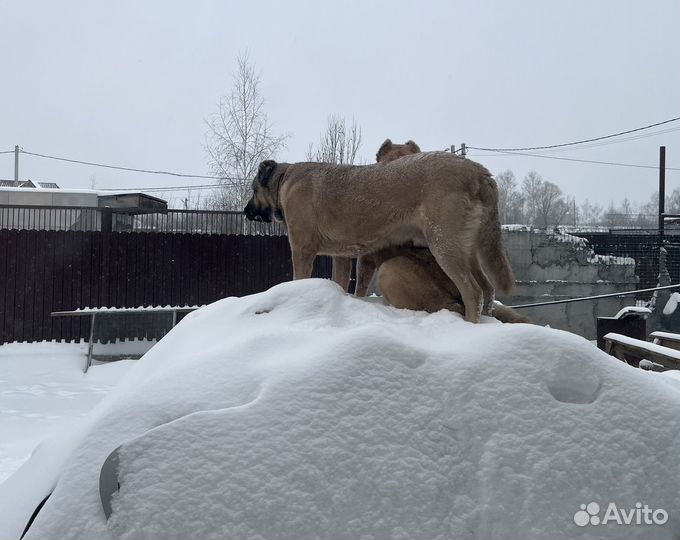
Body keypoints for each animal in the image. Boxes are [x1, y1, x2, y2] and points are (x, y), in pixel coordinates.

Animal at [242, 150, 512, 322]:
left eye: (254, 190)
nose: (245, 212)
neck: (284, 179)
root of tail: (479, 173)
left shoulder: (301, 248)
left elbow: (299, 278)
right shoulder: (342, 257)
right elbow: (341, 282)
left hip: (444, 245)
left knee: (473, 292)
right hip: (467, 248)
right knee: (487, 289)